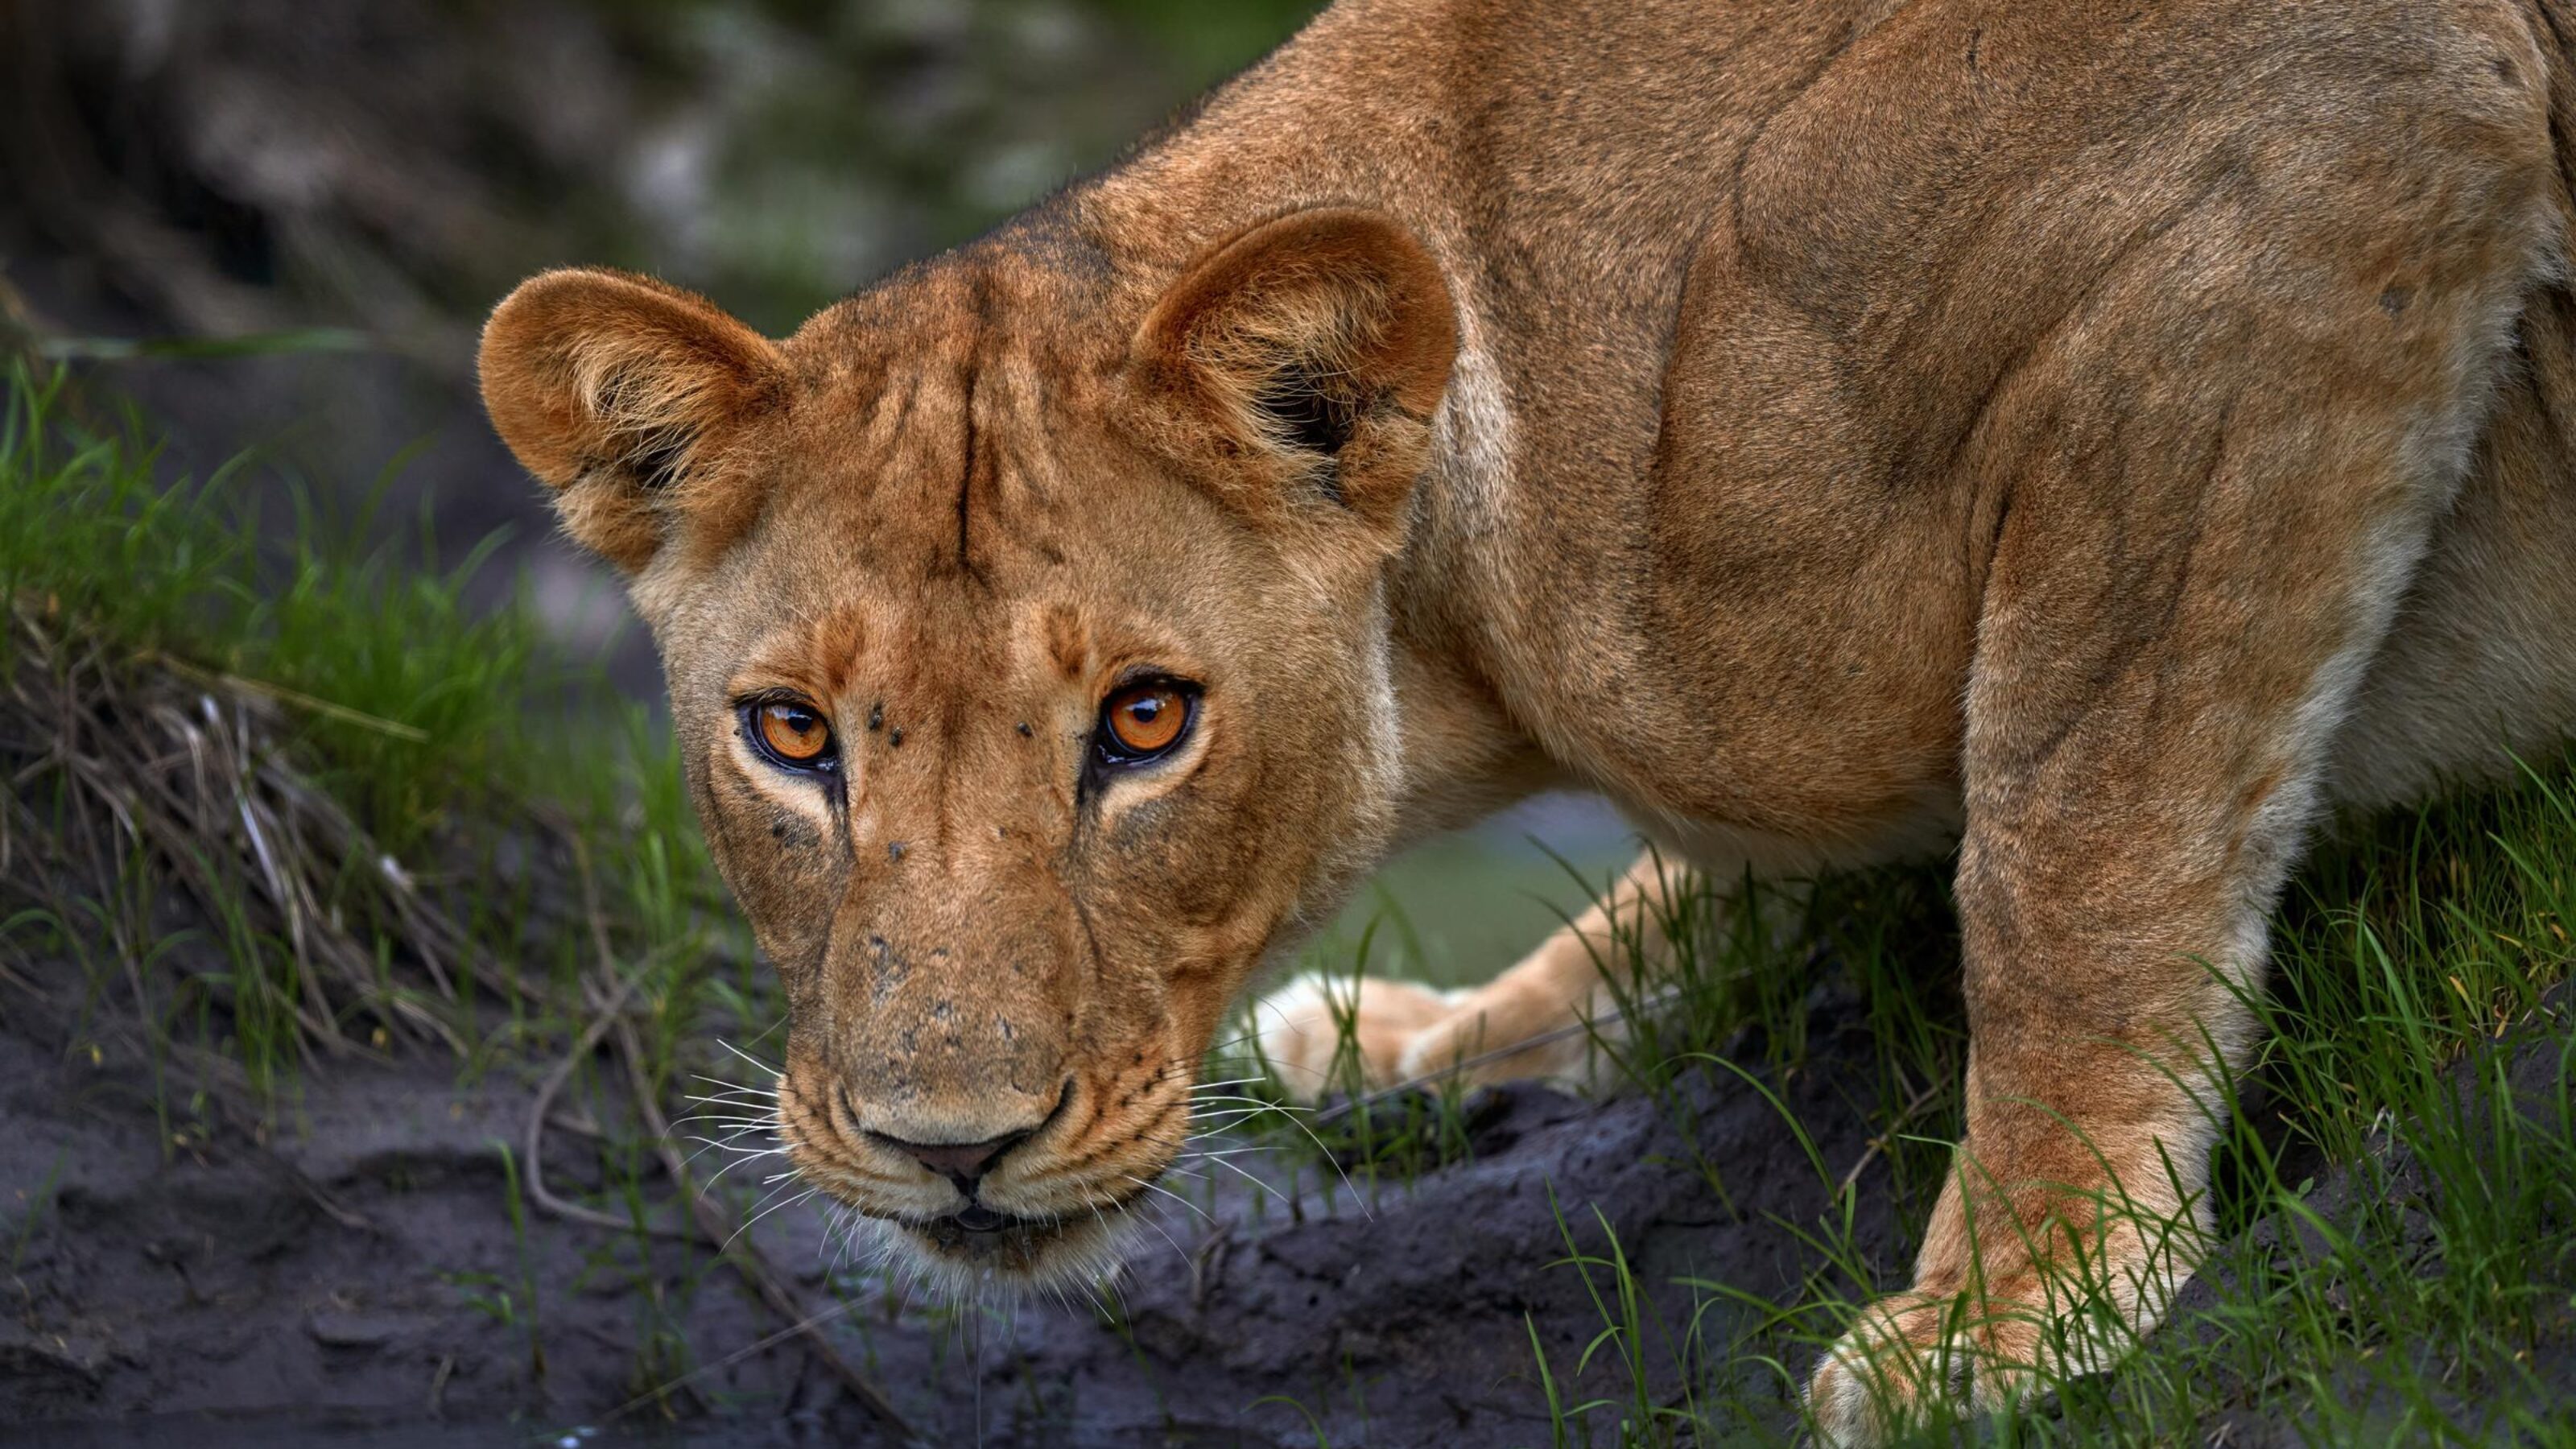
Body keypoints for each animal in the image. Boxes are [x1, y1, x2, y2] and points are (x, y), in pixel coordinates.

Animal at [478, 0, 2576, 1438]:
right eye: (791, 738)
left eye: (1146, 724)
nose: (951, 1148)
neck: (1475, 636)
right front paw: (1433, 1033)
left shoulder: (2308, 167)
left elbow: (2078, 842)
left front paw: (2024, 1307)